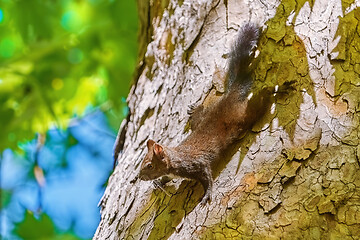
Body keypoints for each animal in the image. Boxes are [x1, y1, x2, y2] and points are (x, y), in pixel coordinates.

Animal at [136, 23, 292, 205]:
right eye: (143, 162)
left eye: (149, 165)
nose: (140, 177)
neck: (175, 159)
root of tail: (230, 97)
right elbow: (168, 177)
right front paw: (160, 182)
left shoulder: (196, 164)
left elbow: (207, 178)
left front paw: (207, 194)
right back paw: (194, 110)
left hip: (247, 113)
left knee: (263, 98)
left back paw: (277, 89)